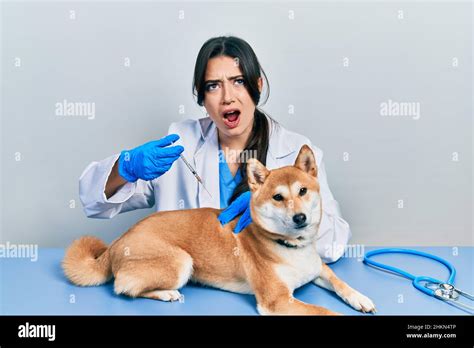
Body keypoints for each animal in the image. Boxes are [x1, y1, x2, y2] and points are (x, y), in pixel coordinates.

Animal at [63, 145, 376, 316]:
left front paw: (360, 298)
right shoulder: (277, 300)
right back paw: (166, 294)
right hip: (181, 261)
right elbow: (325, 312)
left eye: (303, 191)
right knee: (123, 287)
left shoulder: (317, 268)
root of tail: (118, 242)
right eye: (278, 197)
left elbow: (339, 281)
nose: (300, 217)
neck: (290, 246)